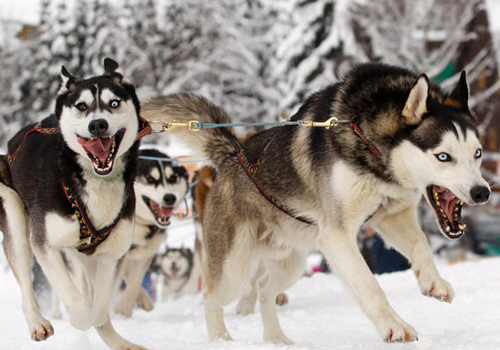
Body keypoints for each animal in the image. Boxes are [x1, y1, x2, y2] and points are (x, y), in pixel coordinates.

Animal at [0, 58, 149, 348]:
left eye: (114, 103)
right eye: (81, 106)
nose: (98, 125)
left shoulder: (111, 255)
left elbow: (100, 307)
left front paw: (101, 321)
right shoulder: (45, 245)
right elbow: (78, 303)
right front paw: (80, 319)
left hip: (85, 257)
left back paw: (121, 342)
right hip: (15, 219)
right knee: (25, 280)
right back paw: (37, 323)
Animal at [114, 148, 188, 318]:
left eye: (173, 178)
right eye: (149, 178)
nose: (170, 198)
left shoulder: (144, 254)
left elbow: (134, 282)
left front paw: (129, 307)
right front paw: (122, 311)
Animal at [142, 63, 492, 344]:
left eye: (477, 153)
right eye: (443, 156)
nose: (482, 193)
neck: (369, 142)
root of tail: (233, 155)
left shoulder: (391, 215)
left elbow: (421, 245)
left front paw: (433, 281)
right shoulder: (337, 236)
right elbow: (369, 285)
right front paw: (394, 326)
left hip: (291, 262)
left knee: (266, 291)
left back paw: (276, 339)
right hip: (234, 267)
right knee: (213, 299)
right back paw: (222, 341)